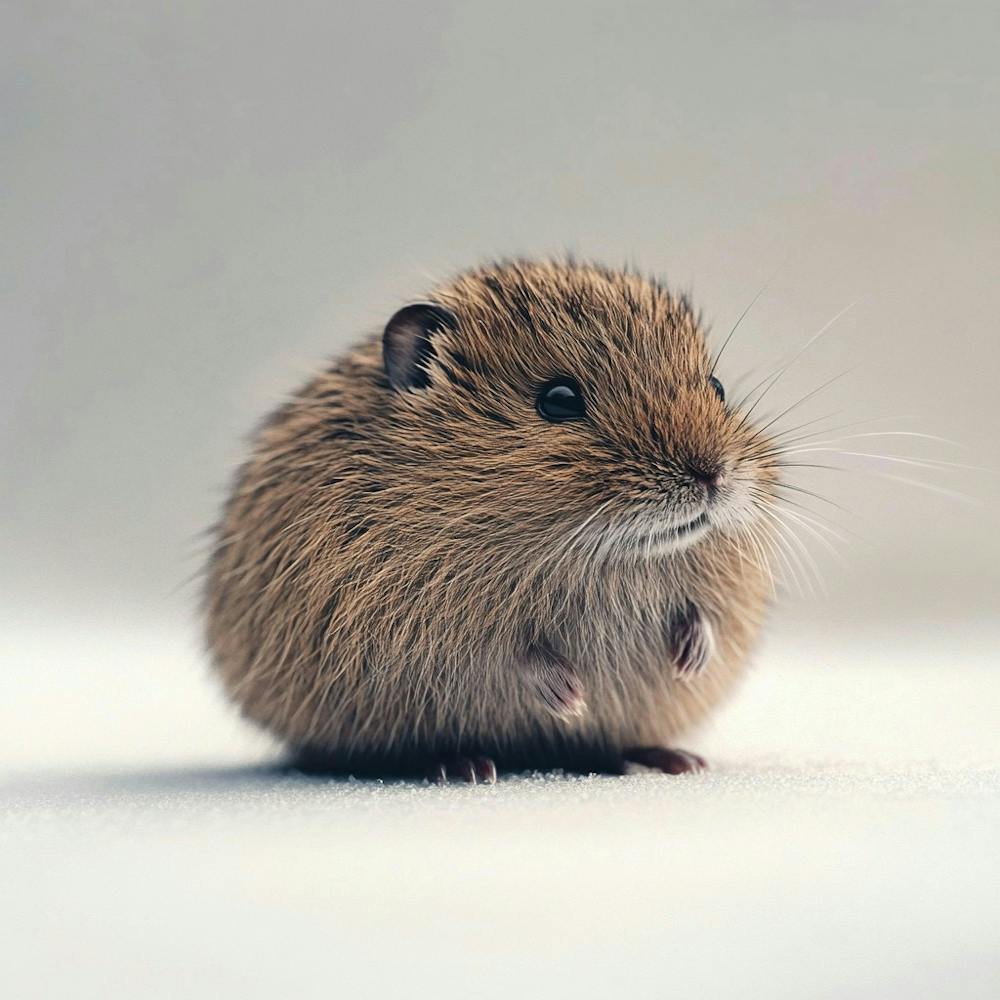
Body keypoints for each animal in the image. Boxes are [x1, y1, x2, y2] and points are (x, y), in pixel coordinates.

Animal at [204, 259, 778, 781]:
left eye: (716, 386)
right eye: (559, 400)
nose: (711, 476)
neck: (599, 559)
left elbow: (707, 616)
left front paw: (690, 659)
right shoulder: (416, 626)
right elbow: (509, 659)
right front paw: (571, 699)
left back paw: (672, 759)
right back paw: (465, 765)